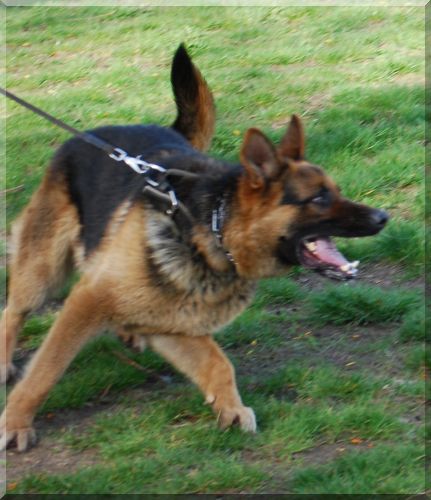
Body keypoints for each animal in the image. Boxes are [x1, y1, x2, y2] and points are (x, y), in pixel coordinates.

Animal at [0, 44, 388, 451]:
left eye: (337, 191)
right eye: (319, 198)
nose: (383, 217)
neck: (212, 233)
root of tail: (86, 136)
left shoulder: (174, 325)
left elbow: (218, 362)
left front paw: (231, 409)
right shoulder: (85, 303)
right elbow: (46, 369)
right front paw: (16, 422)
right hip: (43, 269)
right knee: (14, 309)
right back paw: (4, 361)